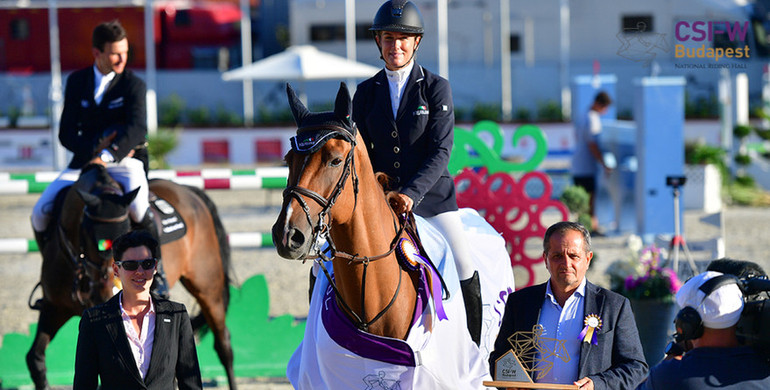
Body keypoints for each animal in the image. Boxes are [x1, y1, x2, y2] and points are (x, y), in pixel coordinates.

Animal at [25, 163, 236, 388]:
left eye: (127, 231)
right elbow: (35, 358)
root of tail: (187, 190)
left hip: (207, 286)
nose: (106, 291)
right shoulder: (54, 308)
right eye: (89, 235)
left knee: (223, 344)